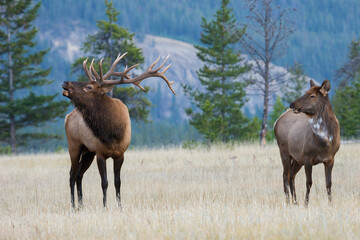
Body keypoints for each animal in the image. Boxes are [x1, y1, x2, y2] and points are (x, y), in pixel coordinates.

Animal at [62, 52, 177, 208]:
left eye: (89, 87)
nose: (65, 83)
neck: (112, 132)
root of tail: (67, 116)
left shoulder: (120, 154)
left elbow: (118, 182)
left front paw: (120, 206)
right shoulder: (100, 153)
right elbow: (104, 183)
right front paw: (105, 207)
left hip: (88, 152)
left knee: (79, 174)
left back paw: (81, 205)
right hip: (74, 145)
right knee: (72, 174)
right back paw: (73, 206)